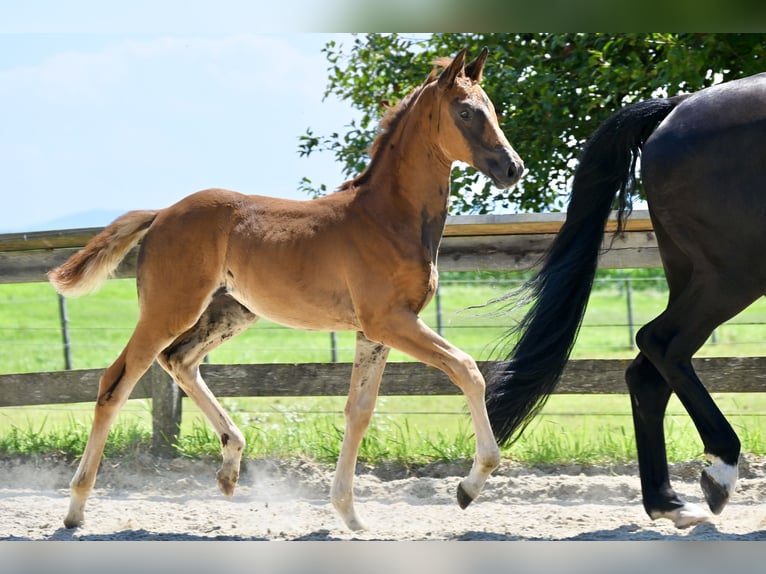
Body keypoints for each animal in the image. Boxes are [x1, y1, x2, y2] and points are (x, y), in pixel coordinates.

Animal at [49, 49, 528, 536]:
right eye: (465, 112)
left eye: (493, 109)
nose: (513, 168)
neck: (387, 218)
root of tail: (162, 212)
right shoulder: (390, 321)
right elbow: (467, 369)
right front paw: (469, 486)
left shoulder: (373, 332)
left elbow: (359, 410)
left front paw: (348, 511)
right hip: (169, 309)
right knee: (116, 382)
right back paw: (76, 507)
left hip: (231, 312)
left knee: (179, 360)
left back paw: (230, 465)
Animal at [486, 72, 766, 532]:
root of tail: (679, 104)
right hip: (734, 273)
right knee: (659, 343)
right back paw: (717, 474)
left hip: (694, 272)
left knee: (649, 372)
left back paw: (669, 502)